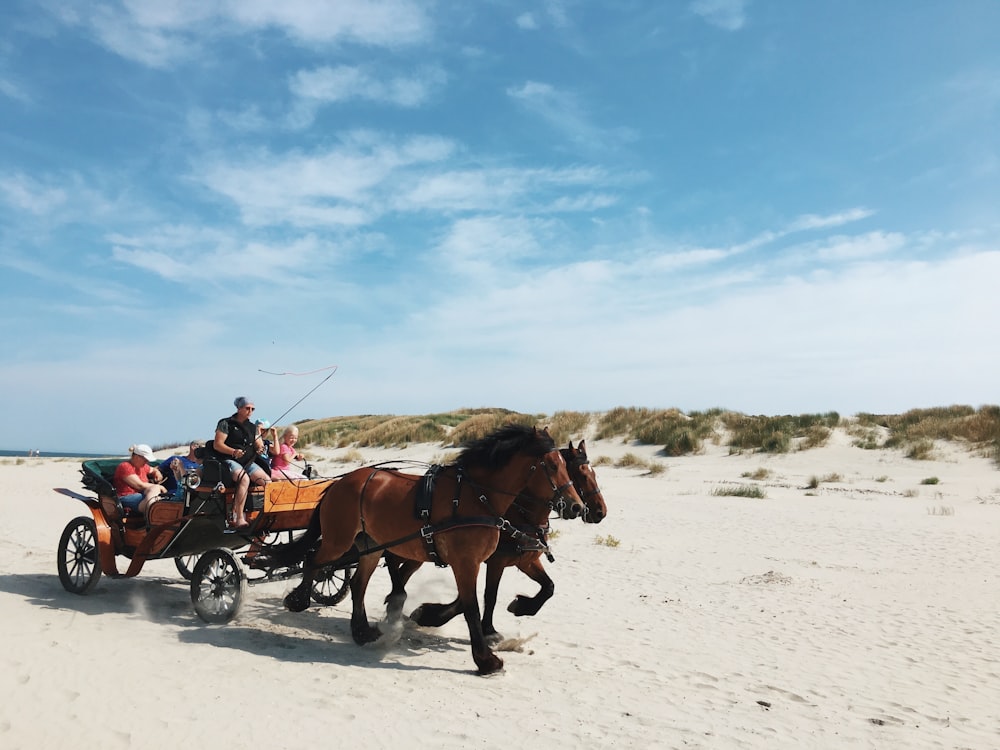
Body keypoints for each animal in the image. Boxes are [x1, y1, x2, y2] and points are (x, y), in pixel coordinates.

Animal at [380, 440, 600, 640]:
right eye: (581, 474)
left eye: (594, 474)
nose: (598, 511)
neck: (520, 515)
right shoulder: (494, 561)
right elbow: (488, 596)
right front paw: (487, 630)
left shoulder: (525, 560)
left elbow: (548, 587)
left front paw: (522, 606)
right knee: (392, 562)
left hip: (418, 553)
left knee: (401, 571)